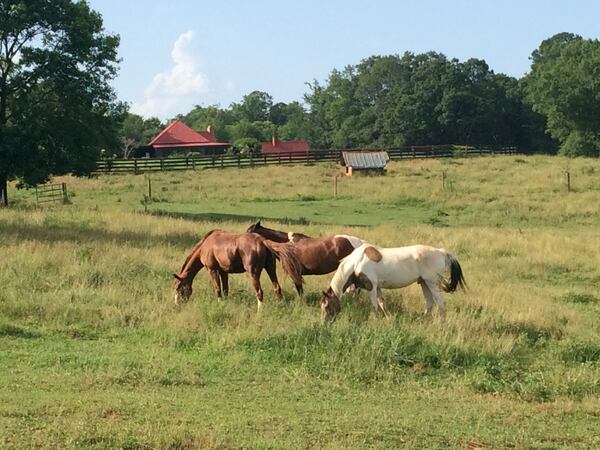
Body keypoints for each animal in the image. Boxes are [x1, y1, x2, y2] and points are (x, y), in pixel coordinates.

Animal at [173, 229, 304, 310]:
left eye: (179, 288)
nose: (177, 304)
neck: (206, 245)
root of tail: (262, 241)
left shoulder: (212, 270)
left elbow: (217, 289)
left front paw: (220, 304)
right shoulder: (223, 272)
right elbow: (225, 289)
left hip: (253, 273)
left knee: (259, 292)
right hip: (270, 269)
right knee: (277, 288)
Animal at [322, 244, 466, 322]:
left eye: (327, 306)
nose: (324, 322)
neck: (357, 262)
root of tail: (442, 252)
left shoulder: (371, 286)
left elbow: (374, 305)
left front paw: (375, 319)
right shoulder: (377, 287)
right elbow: (381, 303)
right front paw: (388, 317)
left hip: (432, 283)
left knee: (441, 303)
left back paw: (441, 323)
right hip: (424, 283)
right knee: (429, 303)